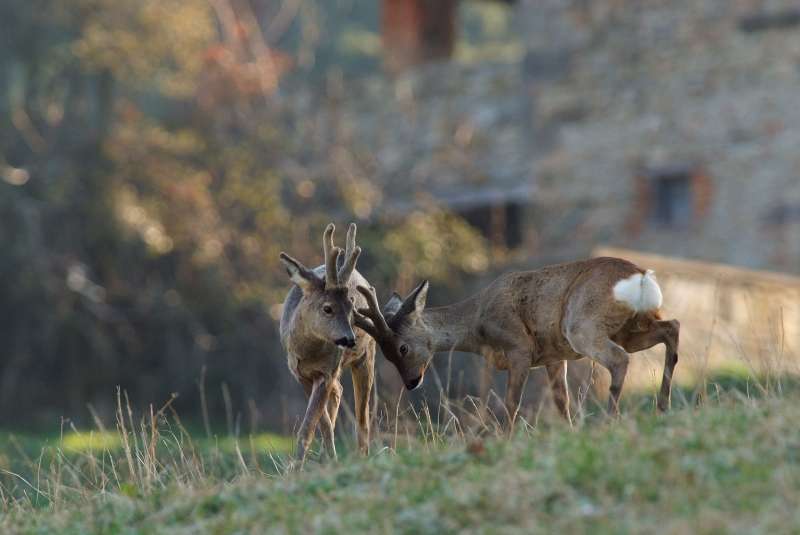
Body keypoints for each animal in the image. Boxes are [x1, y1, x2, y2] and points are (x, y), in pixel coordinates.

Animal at [278, 224, 376, 462]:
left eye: (352, 308)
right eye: (327, 308)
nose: (349, 339)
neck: (308, 353)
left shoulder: (327, 371)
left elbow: (309, 426)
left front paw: (298, 465)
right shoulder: (300, 373)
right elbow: (322, 423)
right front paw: (326, 456)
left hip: (366, 355)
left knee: (362, 416)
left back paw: (362, 456)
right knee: (339, 391)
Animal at [354, 258, 680, 430]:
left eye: (402, 348)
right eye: (386, 353)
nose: (411, 382)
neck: (478, 324)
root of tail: (640, 277)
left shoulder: (519, 348)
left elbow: (512, 403)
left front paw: (504, 438)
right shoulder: (554, 356)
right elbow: (561, 401)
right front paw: (570, 431)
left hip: (583, 326)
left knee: (620, 359)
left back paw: (612, 419)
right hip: (632, 327)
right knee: (672, 328)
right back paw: (662, 407)